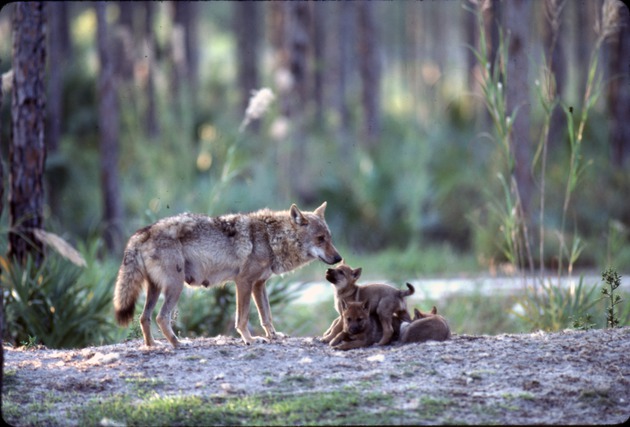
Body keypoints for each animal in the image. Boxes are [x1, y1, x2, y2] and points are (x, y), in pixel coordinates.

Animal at [113, 203, 340, 348]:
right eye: (320, 239)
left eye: (329, 238)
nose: (339, 258)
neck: (270, 238)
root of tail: (142, 232)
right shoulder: (244, 282)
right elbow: (243, 318)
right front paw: (250, 340)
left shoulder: (259, 285)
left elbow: (266, 316)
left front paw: (274, 336)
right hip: (175, 287)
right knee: (161, 317)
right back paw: (177, 343)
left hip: (156, 289)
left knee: (144, 317)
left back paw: (152, 345)